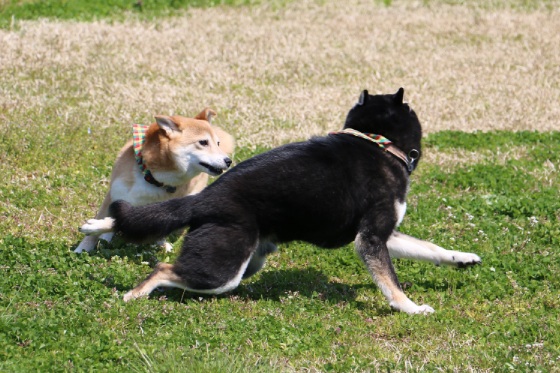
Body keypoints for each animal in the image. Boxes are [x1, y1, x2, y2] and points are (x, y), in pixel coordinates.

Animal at [75, 107, 233, 253]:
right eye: (203, 142)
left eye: (218, 143)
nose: (229, 161)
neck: (152, 177)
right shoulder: (115, 193)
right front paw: (82, 249)